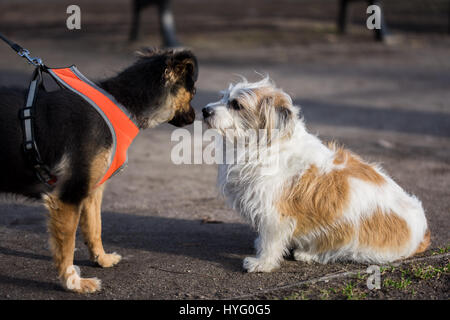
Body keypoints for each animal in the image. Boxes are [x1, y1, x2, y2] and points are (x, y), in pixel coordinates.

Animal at [0, 48, 197, 292]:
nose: (196, 116)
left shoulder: (92, 190)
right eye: (193, 92)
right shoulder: (69, 196)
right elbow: (67, 245)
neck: (122, 101)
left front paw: (101, 259)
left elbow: (95, 228)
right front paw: (72, 282)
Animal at [202, 77, 430, 272]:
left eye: (237, 105)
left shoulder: (274, 214)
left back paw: (307, 254)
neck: (264, 146)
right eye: (223, 97)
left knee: (339, 252)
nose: (204, 110)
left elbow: (271, 241)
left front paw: (262, 263)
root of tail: (422, 234)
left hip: (352, 237)